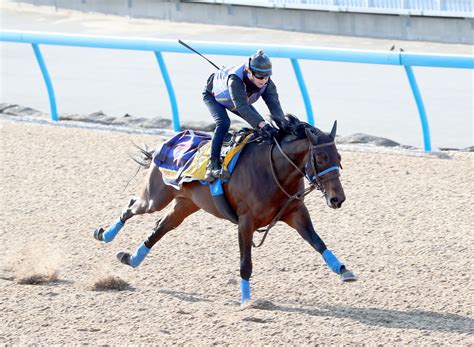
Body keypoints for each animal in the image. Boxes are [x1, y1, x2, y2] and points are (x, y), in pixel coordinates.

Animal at [94, 115, 356, 306]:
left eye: (338, 156)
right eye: (320, 157)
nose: (337, 199)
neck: (272, 170)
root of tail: (166, 143)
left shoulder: (295, 212)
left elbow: (318, 242)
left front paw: (343, 270)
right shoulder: (245, 222)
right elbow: (245, 263)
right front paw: (246, 300)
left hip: (186, 204)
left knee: (160, 227)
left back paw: (131, 258)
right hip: (156, 197)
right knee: (132, 206)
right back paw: (105, 234)